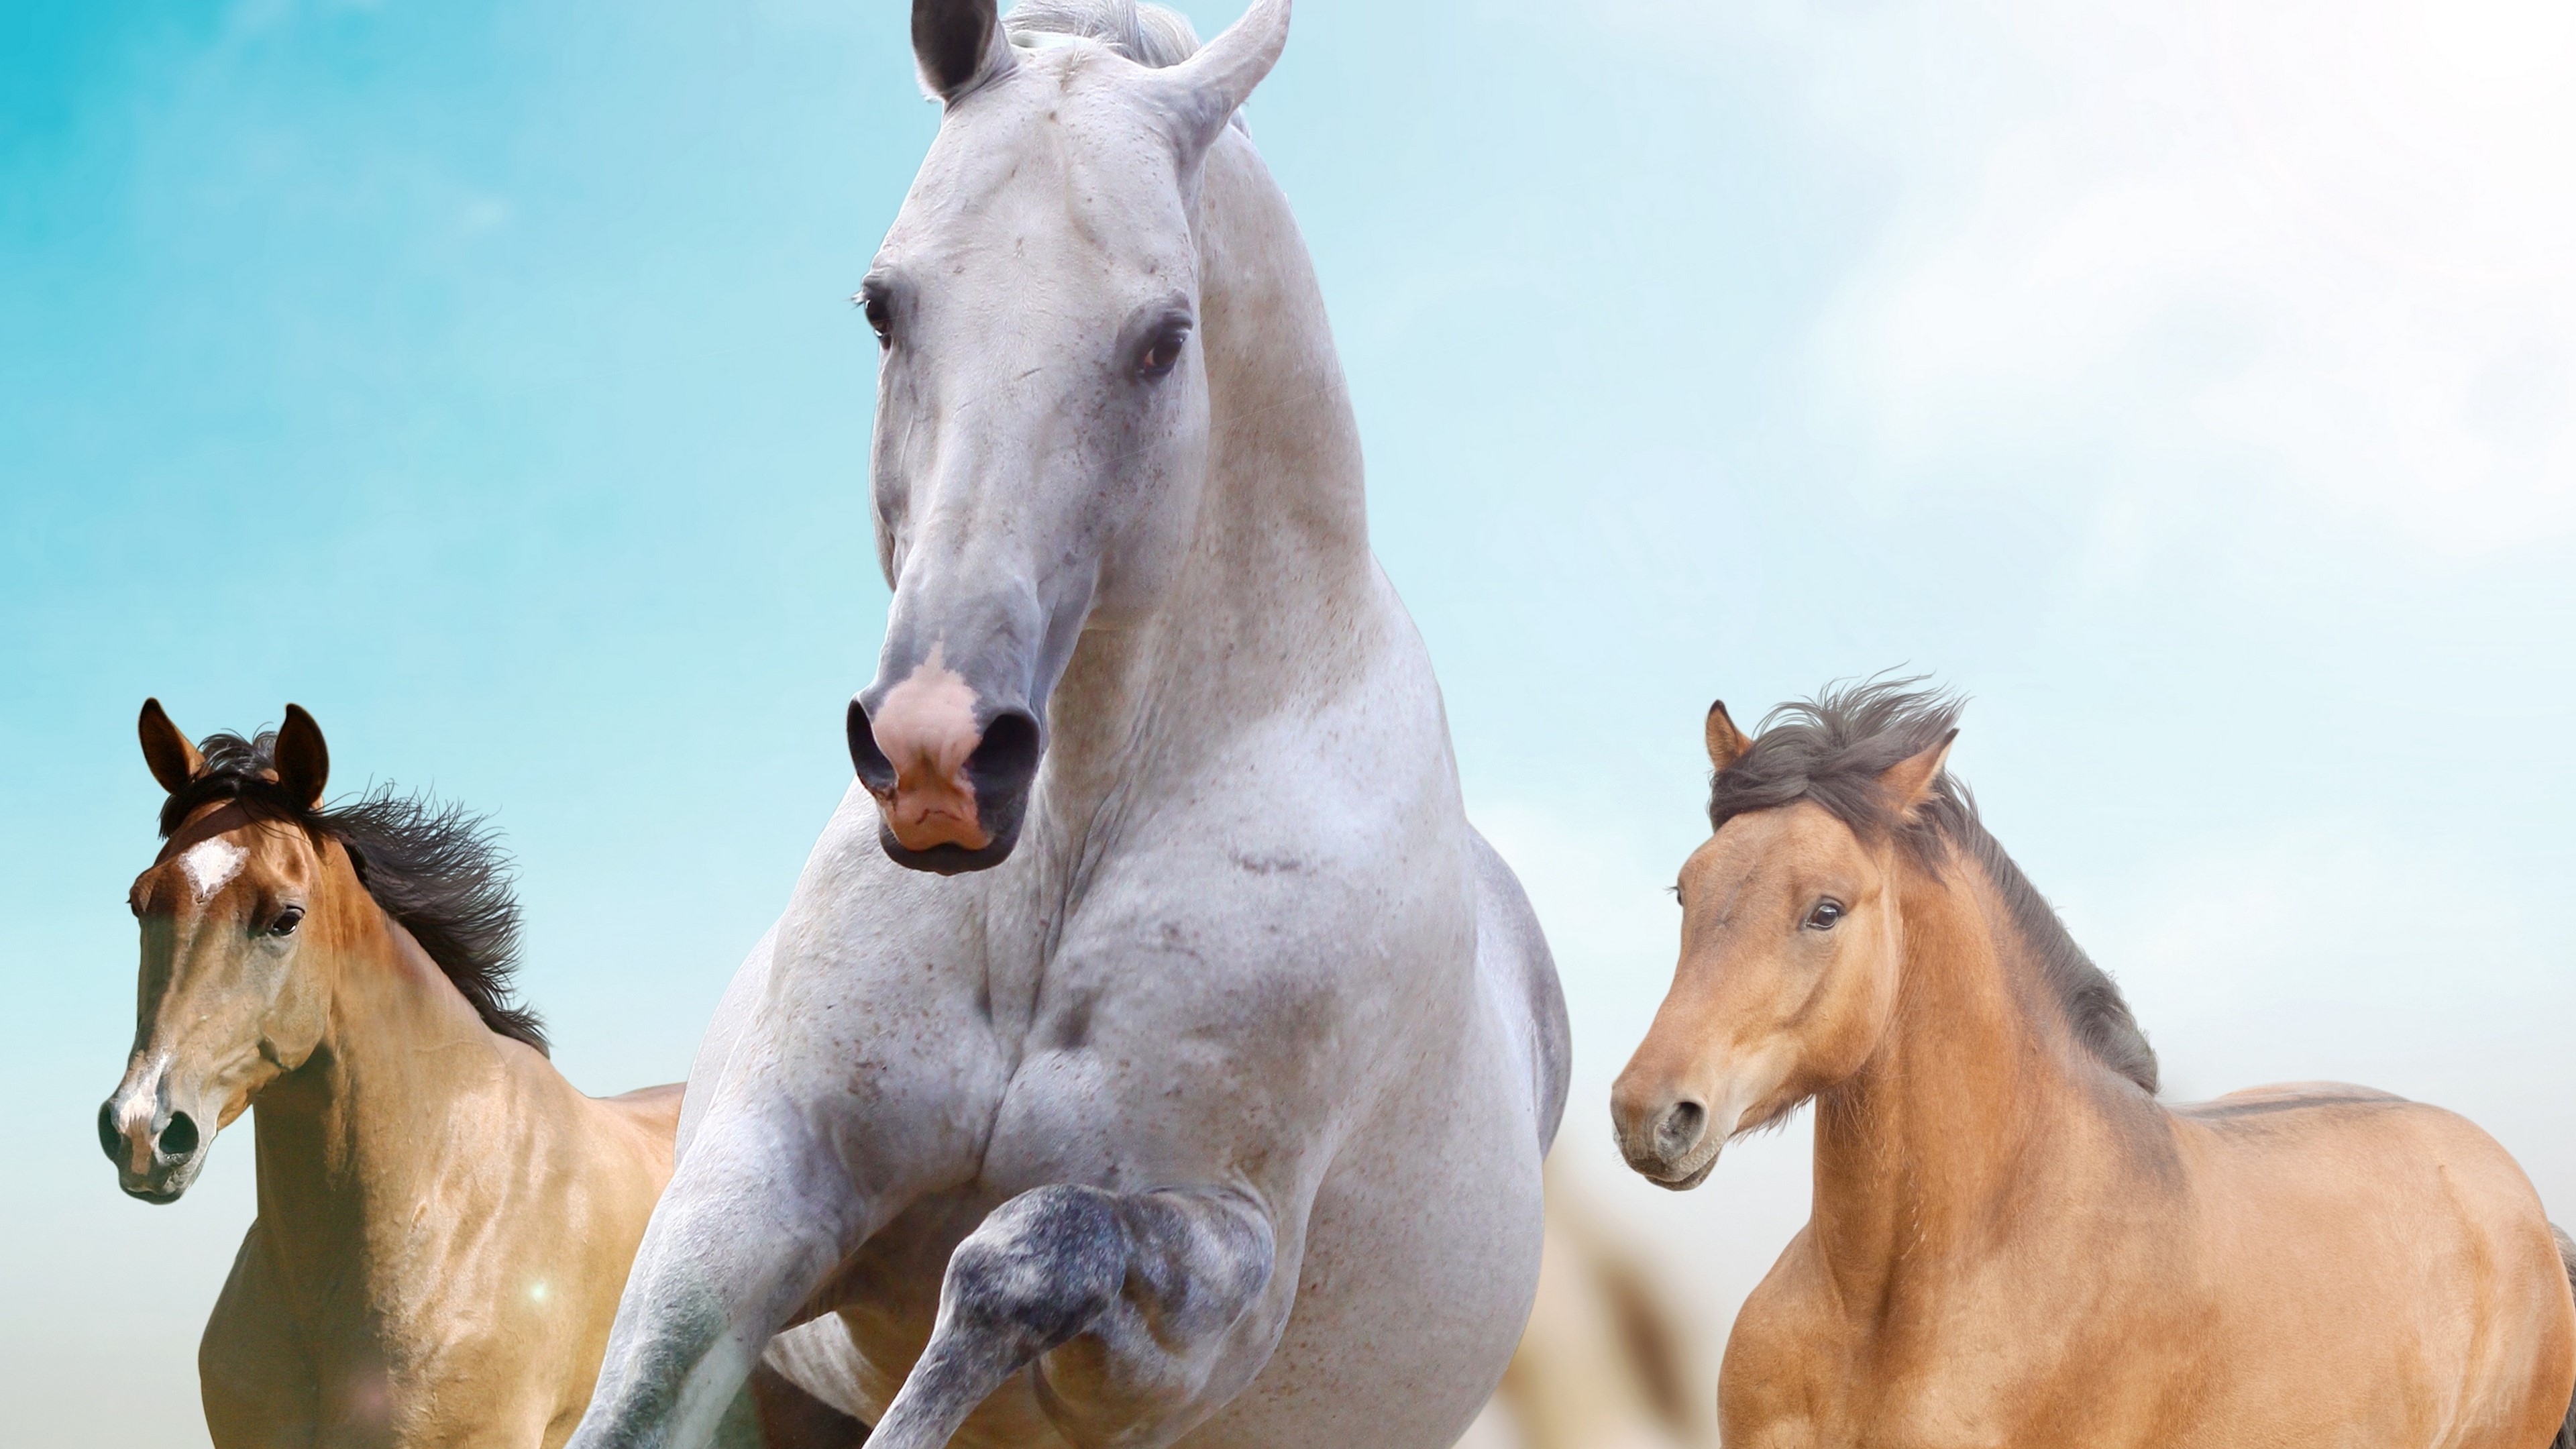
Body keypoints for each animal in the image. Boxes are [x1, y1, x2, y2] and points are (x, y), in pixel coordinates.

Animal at [564, 2, 1569, 1446]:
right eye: (884, 307)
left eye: (1163, 337)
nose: (937, 757)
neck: (1062, 863)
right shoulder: (762, 1186)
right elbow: (647, 1381)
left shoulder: (1215, 1285)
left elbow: (1022, 1254)